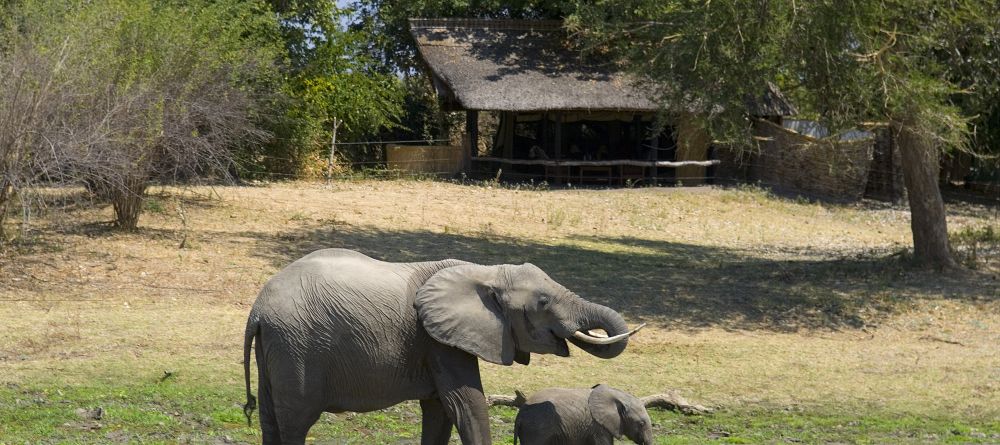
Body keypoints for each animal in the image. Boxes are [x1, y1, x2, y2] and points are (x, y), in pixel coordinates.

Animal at [242, 248, 640, 442]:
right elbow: (466, 403)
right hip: (297, 348)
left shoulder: (437, 341)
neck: (484, 271)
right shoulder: (438, 340)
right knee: (296, 423)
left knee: (271, 421)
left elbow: (439, 410)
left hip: (277, 346)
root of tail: (257, 310)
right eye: (543, 302)